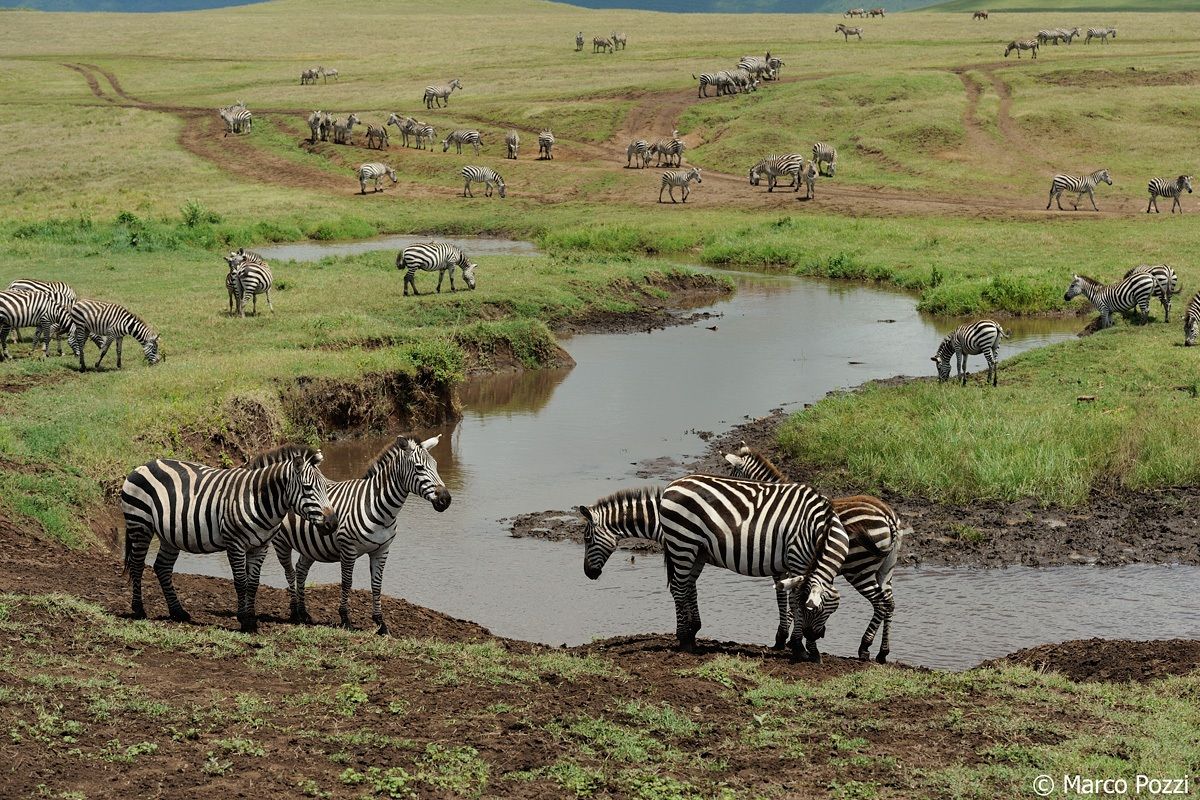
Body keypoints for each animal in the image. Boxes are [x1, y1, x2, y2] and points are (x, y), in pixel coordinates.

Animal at [122, 445, 337, 633]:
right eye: (307, 488)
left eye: (326, 487)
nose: (332, 523)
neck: (258, 499)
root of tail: (144, 465)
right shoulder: (235, 543)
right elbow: (241, 582)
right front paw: (244, 621)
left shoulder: (260, 546)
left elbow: (253, 583)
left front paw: (252, 618)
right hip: (140, 524)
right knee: (138, 566)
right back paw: (139, 610)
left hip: (170, 535)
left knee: (162, 567)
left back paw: (178, 612)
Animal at [274, 435, 451, 633]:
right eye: (419, 467)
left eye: (436, 465)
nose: (446, 499)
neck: (379, 507)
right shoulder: (348, 549)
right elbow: (347, 582)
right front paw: (345, 619)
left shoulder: (382, 550)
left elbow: (377, 584)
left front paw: (381, 624)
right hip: (280, 542)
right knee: (289, 572)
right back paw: (294, 612)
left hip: (310, 546)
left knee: (301, 571)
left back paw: (304, 613)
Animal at [579, 477, 850, 662]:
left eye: (586, 538)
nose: (589, 574)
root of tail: (674, 485)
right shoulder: (794, 560)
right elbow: (793, 601)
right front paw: (798, 647)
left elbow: (788, 599)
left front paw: (794, 644)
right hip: (685, 543)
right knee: (679, 588)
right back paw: (684, 640)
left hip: (687, 545)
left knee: (681, 588)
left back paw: (687, 637)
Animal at [723, 445, 909, 662]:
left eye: (733, 476)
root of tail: (888, 516)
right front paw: (794, 637)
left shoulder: (783, 567)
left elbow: (784, 598)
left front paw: (783, 638)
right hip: (886, 569)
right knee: (889, 603)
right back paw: (882, 652)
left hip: (858, 569)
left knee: (879, 603)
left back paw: (864, 647)